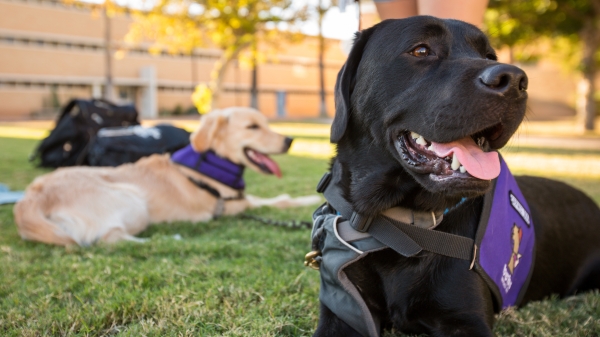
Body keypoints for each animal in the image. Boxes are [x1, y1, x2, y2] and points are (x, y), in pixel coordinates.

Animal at [312, 16, 600, 336]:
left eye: (489, 56)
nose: (515, 81)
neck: (401, 225)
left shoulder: (466, 319)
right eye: (421, 50)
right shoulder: (344, 309)